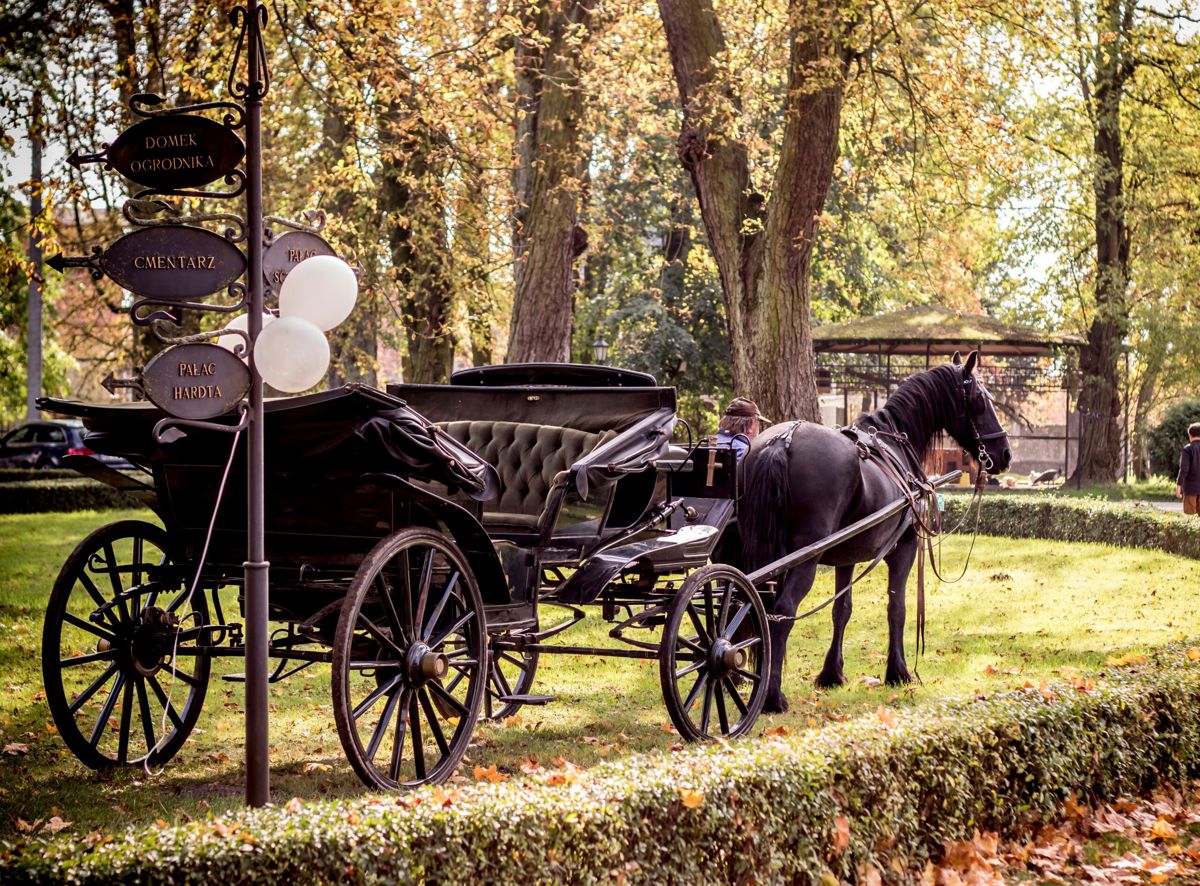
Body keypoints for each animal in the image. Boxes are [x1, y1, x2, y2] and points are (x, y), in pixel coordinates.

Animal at [739, 352, 1012, 710]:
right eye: (981, 400)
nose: (1005, 454)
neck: (892, 440)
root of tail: (782, 441)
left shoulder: (845, 557)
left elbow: (841, 610)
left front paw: (832, 674)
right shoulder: (905, 548)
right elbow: (897, 608)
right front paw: (898, 671)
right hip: (803, 559)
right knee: (781, 612)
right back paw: (772, 695)